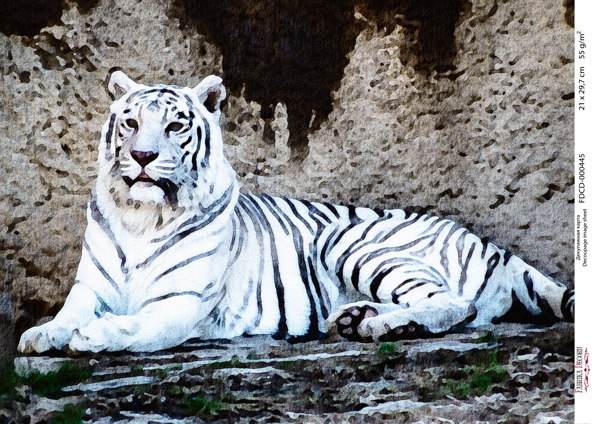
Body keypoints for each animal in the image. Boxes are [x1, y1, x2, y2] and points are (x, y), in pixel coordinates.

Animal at [17, 71, 572, 352]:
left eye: (175, 125)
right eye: (130, 122)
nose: (143, 156)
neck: (141, 215)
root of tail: (490, 245)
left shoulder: (181, 302)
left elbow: (138, 327)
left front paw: (93, 336)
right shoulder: (91, 287)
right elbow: (67, 314)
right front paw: (39, 337)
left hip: (352, 242)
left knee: (458, 306)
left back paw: (381, 328)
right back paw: (355, 318)